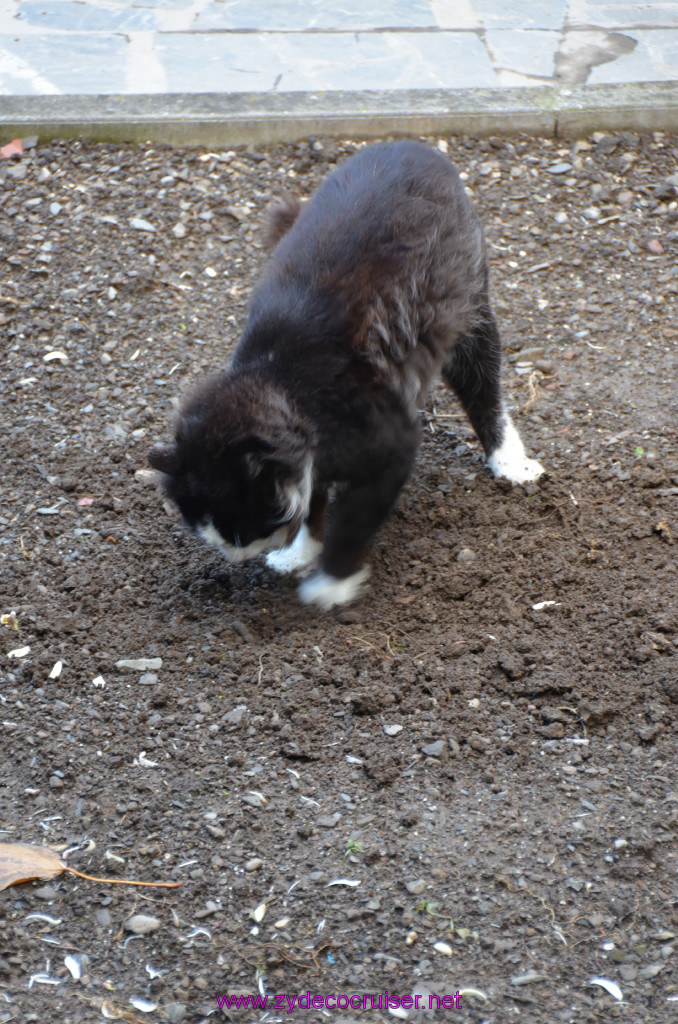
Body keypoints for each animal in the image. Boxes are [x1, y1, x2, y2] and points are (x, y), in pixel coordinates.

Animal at [150, 141, 548, 610]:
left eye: (239, 529)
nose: (233, 555)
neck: (284, 381)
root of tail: (411, 146)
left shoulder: (392, 447)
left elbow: (352, 522)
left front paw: (331, 585)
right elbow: (312, 507)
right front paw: (298, 554)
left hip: (469, 315)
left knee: (486, 392)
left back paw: (510, 462)